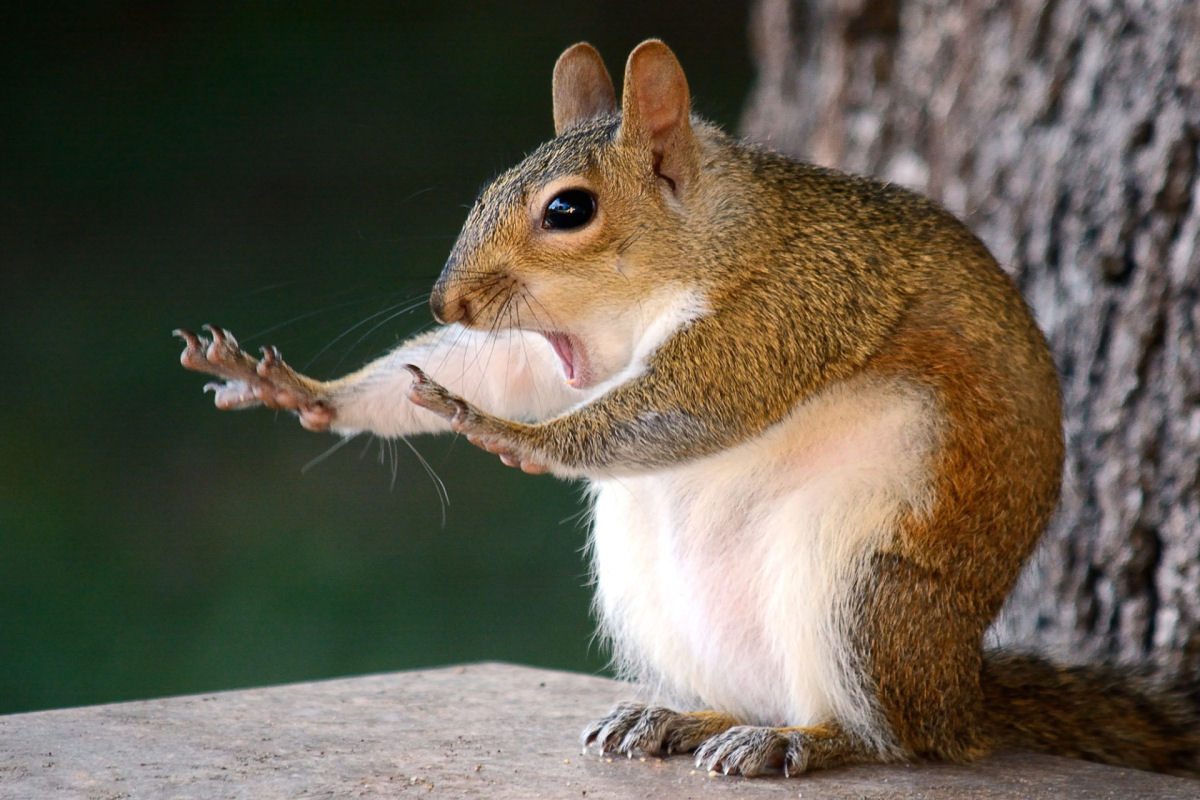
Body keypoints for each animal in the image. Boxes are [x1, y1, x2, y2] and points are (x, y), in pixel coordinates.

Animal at [175, 40, 1200, 777]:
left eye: (568, 210)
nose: (447, 303)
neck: (709, 243)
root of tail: (961, 695)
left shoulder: (794, 305)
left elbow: (689, 405)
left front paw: (508, 434)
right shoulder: (560, 351)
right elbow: (503, 370)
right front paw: (303, 390)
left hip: (865, 591)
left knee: (893, 739)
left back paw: (803, 742)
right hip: (655, 592)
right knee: (750, 696)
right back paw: (676, 718)